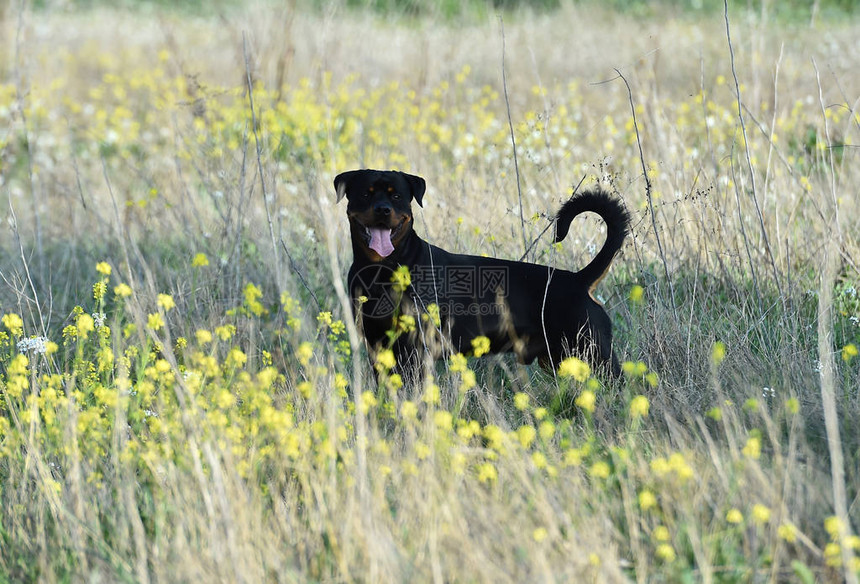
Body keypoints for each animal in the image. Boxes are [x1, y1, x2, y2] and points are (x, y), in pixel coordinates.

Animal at [338, 169, 632, 378]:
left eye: (396, 196)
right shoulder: (377, 347)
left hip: (595, 354)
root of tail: (578, 280)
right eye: (366, 194)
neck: (382, 268)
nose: (383, 210)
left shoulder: (415, 349)